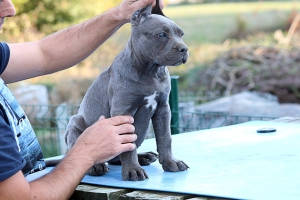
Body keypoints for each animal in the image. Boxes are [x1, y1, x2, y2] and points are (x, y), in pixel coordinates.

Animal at [64, 4, 189, 181]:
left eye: (181, 34)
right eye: (161, 34)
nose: (184, 49)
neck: (150, 71)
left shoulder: (163, 109)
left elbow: (166, 138)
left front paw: (171, 162)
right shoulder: (123, 111)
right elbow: (128, 146)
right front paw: (133, 171)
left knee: (118, 157)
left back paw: (144, 157)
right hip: (75, 123)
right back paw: (96, 167)